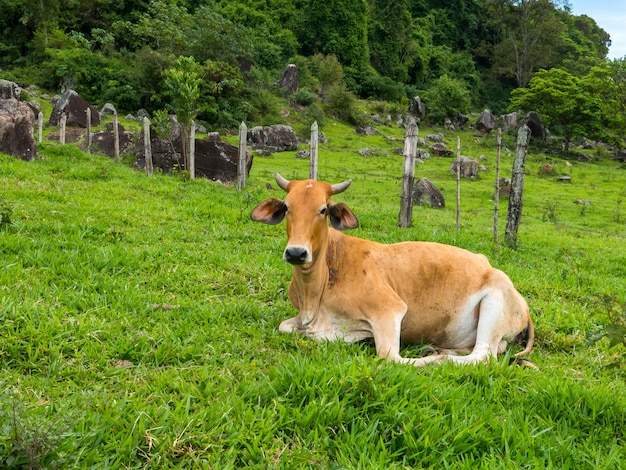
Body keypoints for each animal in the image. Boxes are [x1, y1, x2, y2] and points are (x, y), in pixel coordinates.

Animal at [249, 174, 532, 366]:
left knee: (483, 355)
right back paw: (438, 350)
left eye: (323, 210)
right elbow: (285, 327)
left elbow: (389, 357)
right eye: (287, 207)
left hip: (494, 304)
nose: (296, 252)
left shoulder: (389, 310)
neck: (315, 291)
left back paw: (440, 358)